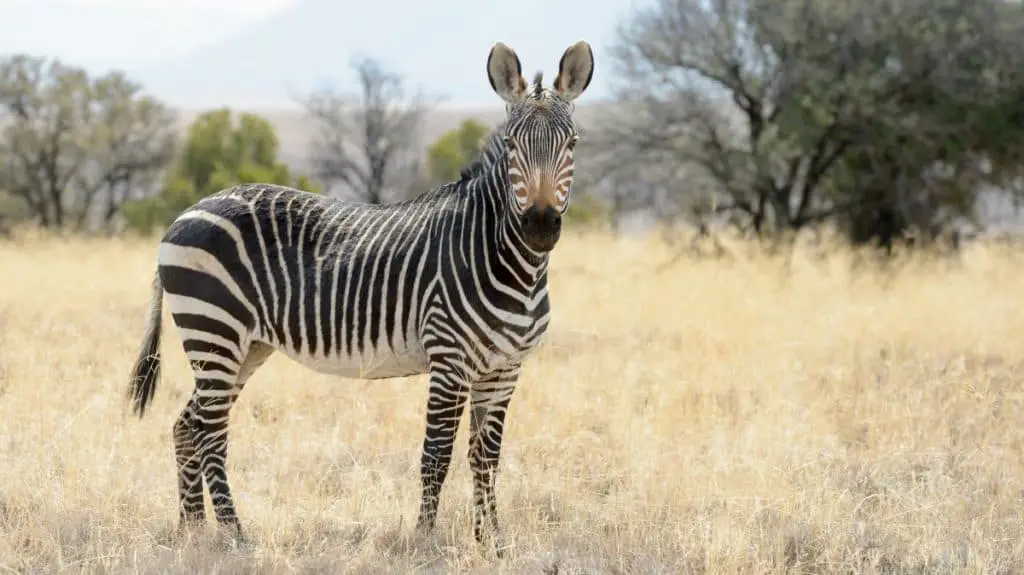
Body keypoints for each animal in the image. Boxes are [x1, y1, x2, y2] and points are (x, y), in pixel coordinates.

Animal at [123, 40, 598, 552]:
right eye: (511, 145)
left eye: (572, 144)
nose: (540, 226)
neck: (509, 262)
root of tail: (183, 214)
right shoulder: (449, 359)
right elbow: (436, 455)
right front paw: (424, 541)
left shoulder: (504, 370)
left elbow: (485, 457)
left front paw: (490, 541)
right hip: (215, 331)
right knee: (209, 432)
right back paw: (235, 534)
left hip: (243, 346)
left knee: (186, 426)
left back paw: (193, 530)